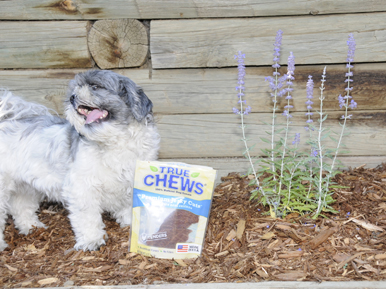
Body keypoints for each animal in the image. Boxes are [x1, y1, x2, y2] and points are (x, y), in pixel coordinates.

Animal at [0, 69, 160, 250]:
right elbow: (87, 216)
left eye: (95, 87)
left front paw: (131, 225)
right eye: (75, 89)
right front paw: (92, 240)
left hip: (25, 187)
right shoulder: (81, 188)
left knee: (21, 207)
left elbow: (127, 206)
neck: (114, 141)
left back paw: (32, 227)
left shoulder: (129, 182)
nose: (72, 97)